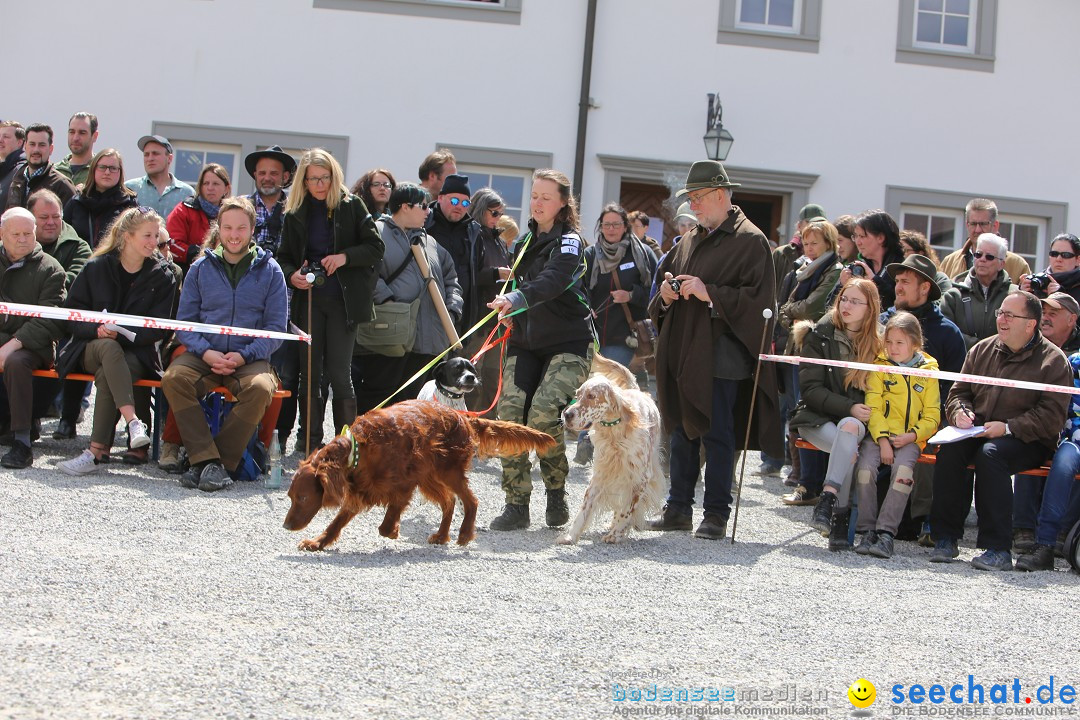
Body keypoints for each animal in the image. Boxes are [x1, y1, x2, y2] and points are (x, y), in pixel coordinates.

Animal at [282, 399, 552, 552]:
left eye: (303, 498)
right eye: (291, 497)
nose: (286, 526)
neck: (357, 449)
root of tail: (463, 418)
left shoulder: (404, 483)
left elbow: (388, 519)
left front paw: (393, 530)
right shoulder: (360, 487)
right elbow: (337, 522)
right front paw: (317, 543)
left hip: (448, 471)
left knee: (470, 500)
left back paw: (464, 534)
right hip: (430, 478)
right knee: (450, 501)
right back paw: (442, 535)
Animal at [557, 354, 665, 546]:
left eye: (591, 396)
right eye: (578, 395)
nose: (567, 414)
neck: (615, 434)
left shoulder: (640, 477)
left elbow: (628, 508)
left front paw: (616, 534)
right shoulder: (602, 474)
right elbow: (585, 508)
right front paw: (571, 535)